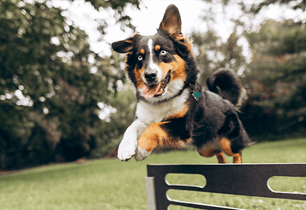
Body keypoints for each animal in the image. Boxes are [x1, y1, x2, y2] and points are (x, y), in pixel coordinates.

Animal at [111, 4, 252, 163]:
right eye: (140, 57)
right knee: (218, 153)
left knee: (236, 152)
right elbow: (131, 128)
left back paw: (236, 163)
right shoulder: (144, 118)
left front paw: (141, 149)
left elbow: (155, 127)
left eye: (163, 52)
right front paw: (125, 148)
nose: (149, 75)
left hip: (227, 141)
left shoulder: (183, 124)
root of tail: (226, 100)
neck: (162, 100)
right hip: (205, 148)